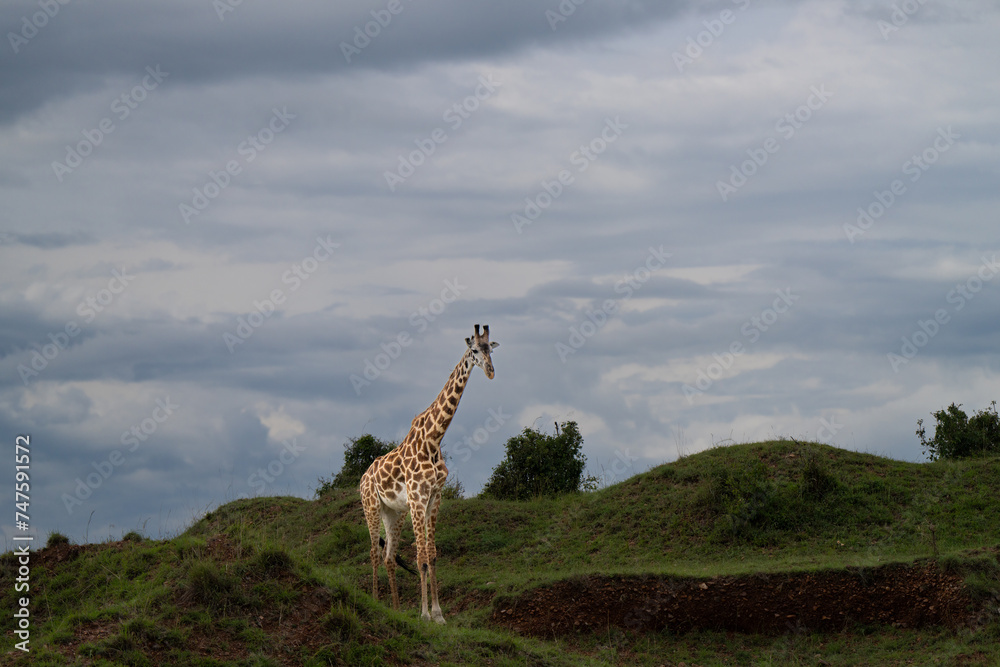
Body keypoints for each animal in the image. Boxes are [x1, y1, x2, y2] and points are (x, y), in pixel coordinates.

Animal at [359, 324, 498, 623]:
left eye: (490, 349)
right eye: (473, 350)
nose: (491, 371)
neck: (434, 439)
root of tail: (363, 477)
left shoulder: (434, 497)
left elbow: (432, 555)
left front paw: (438, 614)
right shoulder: (417, 498)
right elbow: (420, 557)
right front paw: (424, 615)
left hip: (394, 513)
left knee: (389, 556)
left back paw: (396, 609)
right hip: (371, 506)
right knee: (374, 553)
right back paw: (376, 602)